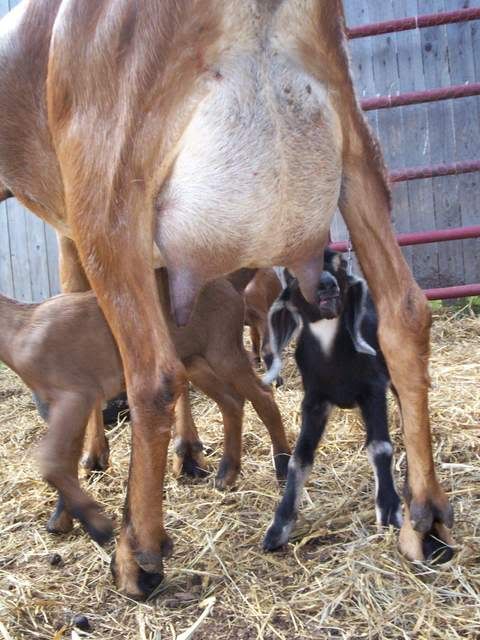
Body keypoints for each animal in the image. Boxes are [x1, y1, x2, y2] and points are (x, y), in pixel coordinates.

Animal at [0, 269, 290, 548]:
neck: (22, 327)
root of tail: (226, 282)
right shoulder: (67, 404)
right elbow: (67, 460)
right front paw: (63, 519)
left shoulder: (75, 396)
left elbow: (52, 460)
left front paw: (98, 524)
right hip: (194, 360)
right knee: (230, 401)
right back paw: (226, 473)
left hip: (223, 350)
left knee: (263, 396)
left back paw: (283, 466)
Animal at [263, 250, 453, 562]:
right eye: (293, 273)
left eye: (339, 264)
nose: (326, 285)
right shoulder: (314, 401)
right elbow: (299, 459)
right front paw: (278, 527)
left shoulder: (372, 391)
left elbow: (380, 447)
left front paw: (389, 510)